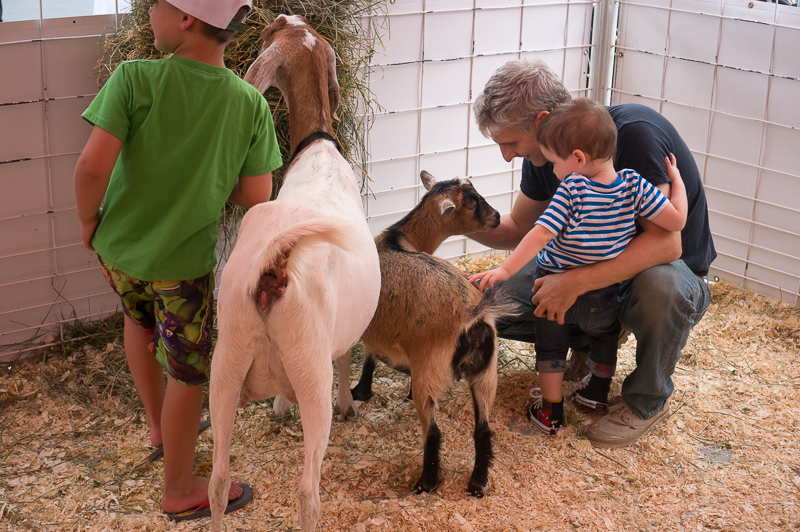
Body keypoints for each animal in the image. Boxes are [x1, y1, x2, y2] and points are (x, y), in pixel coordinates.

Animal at [206, 13, 382, 532]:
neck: (319, 149)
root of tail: (274, 265)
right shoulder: (338, 338)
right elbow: (346, 359)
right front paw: (348, 406)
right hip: (308, 366)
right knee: (308, 491)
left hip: (224, 366)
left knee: (218, 481)